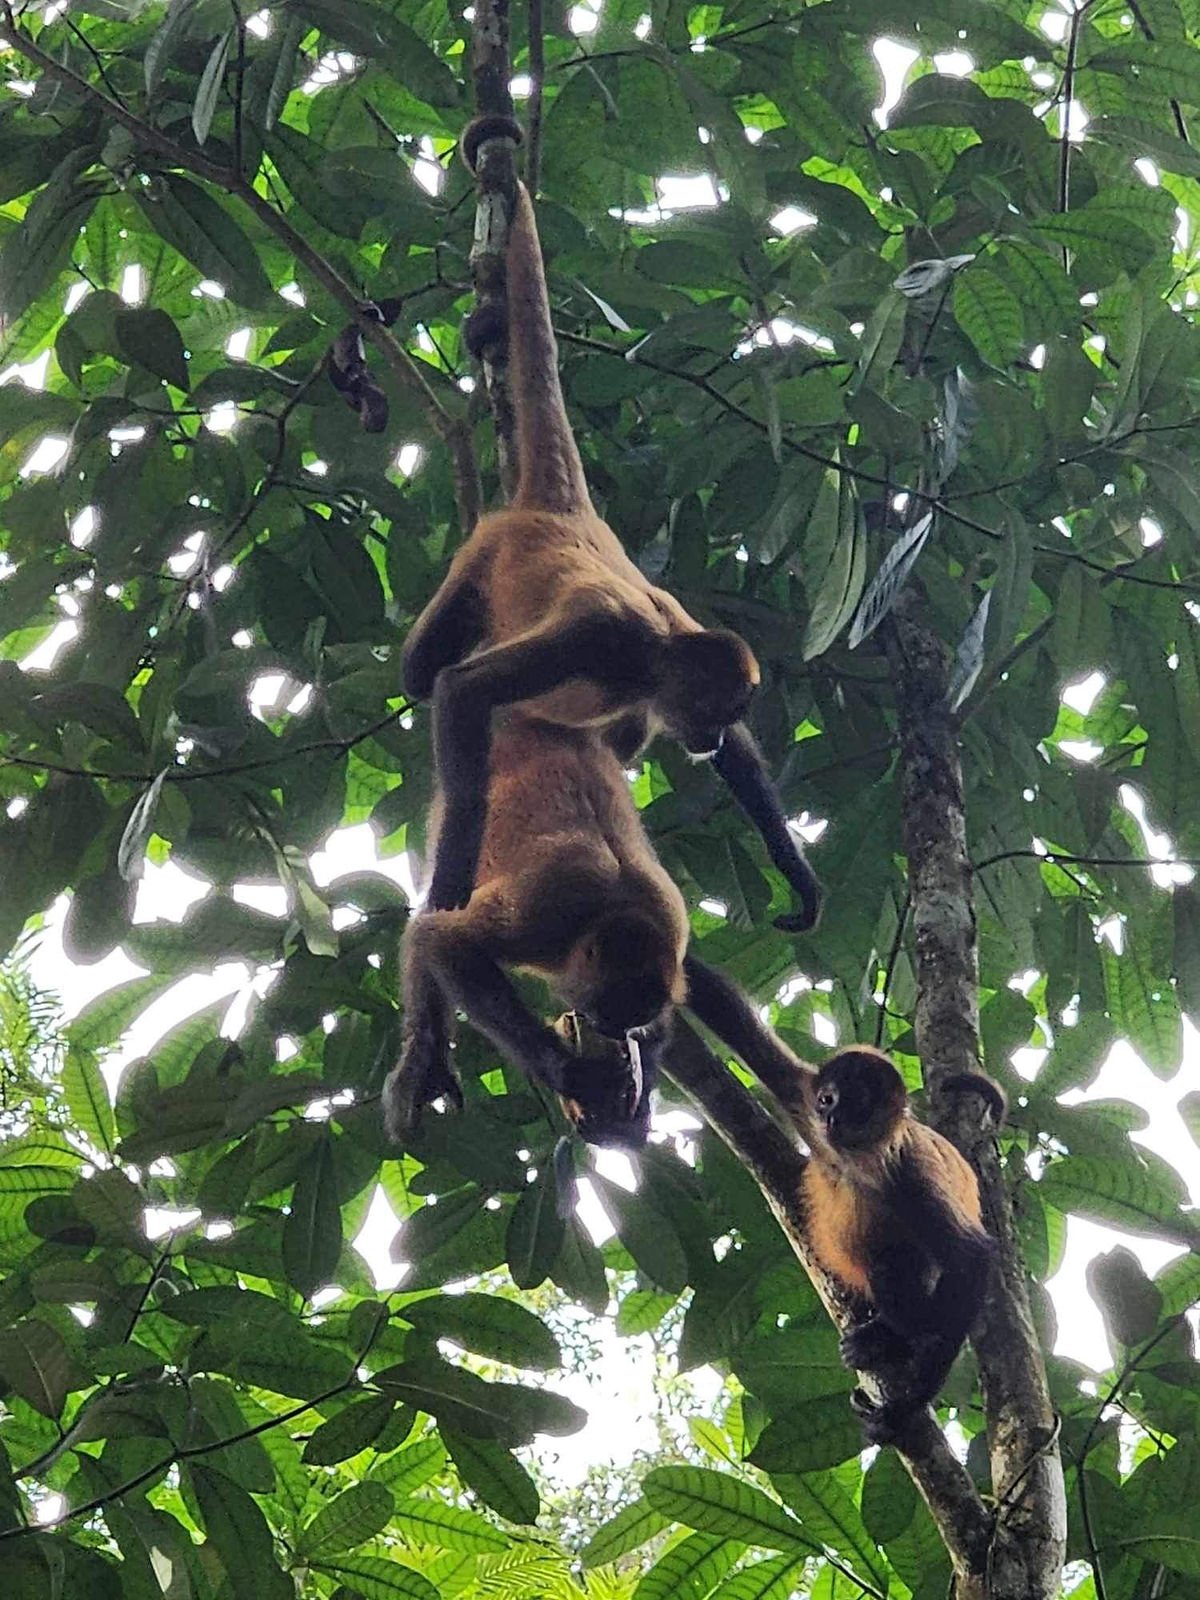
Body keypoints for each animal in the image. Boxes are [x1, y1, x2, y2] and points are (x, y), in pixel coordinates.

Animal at [400, 113, 822, 932]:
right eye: (716, 706)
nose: (709, 736)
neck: (655, 655)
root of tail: (562, 507)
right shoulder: (604, 639)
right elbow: (460, 690)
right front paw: (453, 879)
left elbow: (742, 760)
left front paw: (797, 875)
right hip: (483, 554)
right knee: (424, 674)